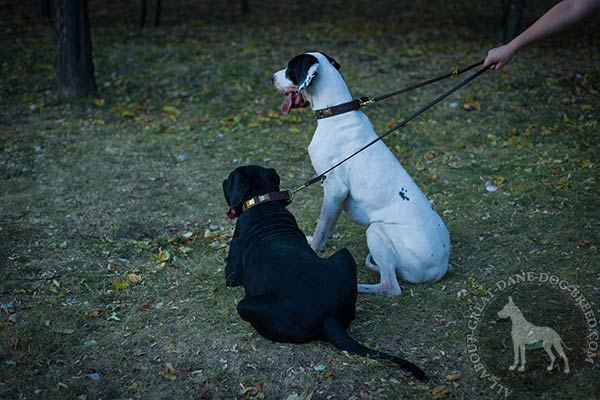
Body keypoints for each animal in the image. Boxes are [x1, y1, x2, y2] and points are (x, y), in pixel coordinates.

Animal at [223, 166, 424, 382]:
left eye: (230, 178)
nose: (224, 181)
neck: (263, 201)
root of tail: (329, 319)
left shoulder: (232, 272)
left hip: (245, 306)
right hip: (344, 255)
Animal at [272, 51, 450, 296]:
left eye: (290, 68)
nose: (271, 78)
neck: (336, 113)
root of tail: (440, 267)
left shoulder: (335, 189)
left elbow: (321, 228)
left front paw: (313, 249)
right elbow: (327, 227)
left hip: (376, 230)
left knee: (390, 286)